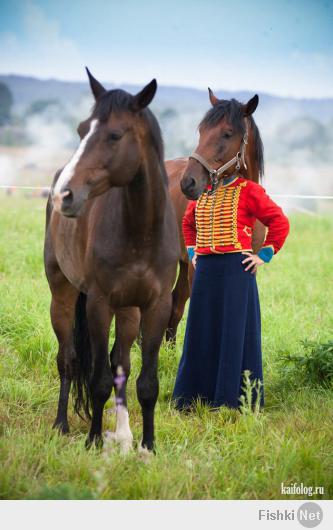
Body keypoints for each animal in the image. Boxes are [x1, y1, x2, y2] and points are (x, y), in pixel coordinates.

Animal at [44, 68, 180, 450]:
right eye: (81, 130)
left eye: (115, 135)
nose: (65, 195)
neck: (140, 232)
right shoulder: (99, 304)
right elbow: (99, 380)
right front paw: (93, 441)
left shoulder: (156, 306)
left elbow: (145, 383)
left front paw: (147, 445)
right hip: (63, 295)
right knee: (69, 360)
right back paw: (61, 424)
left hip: (129, 310)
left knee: (121, 363)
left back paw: (124, 434)